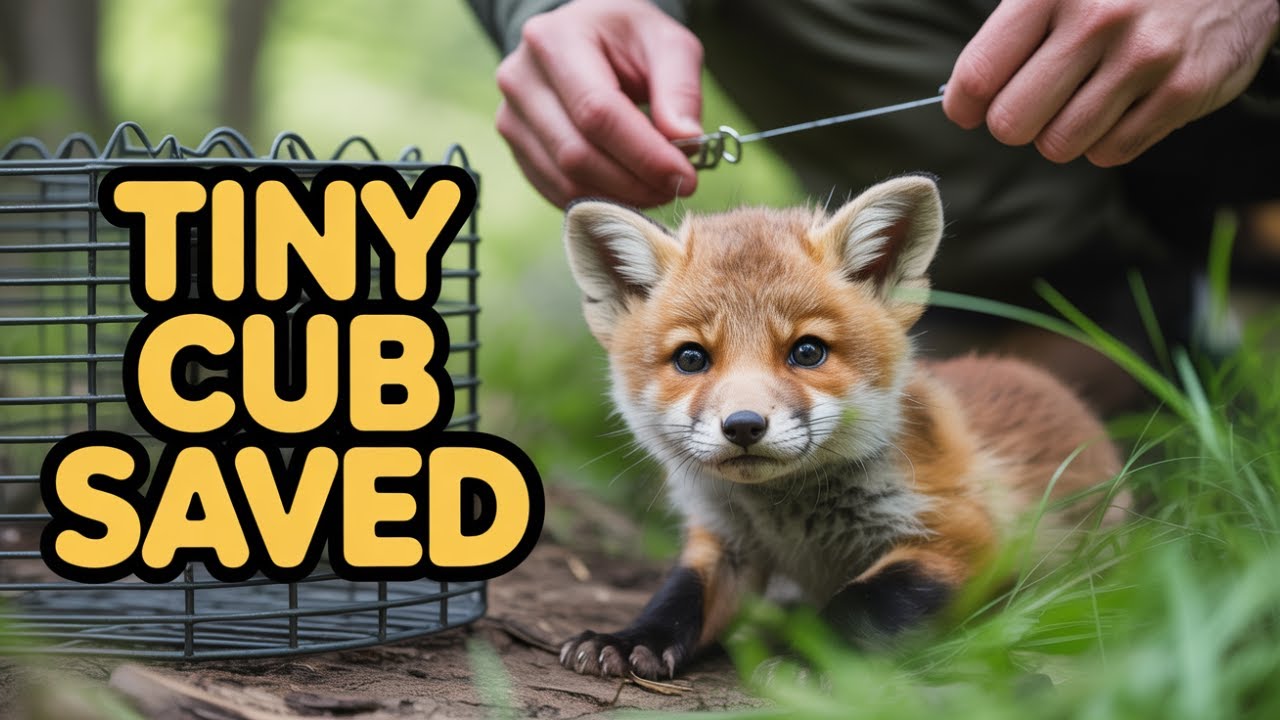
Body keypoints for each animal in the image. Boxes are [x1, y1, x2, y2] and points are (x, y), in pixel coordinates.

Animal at [557, 175, 1124, 680]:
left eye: (807, 352)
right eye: (691, 358)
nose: (743, 425)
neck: (792, 524)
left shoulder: (962, 532)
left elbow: (860, 602)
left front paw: (807, 660)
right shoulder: (725, 540)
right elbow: (679, 597)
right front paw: (629, 639)